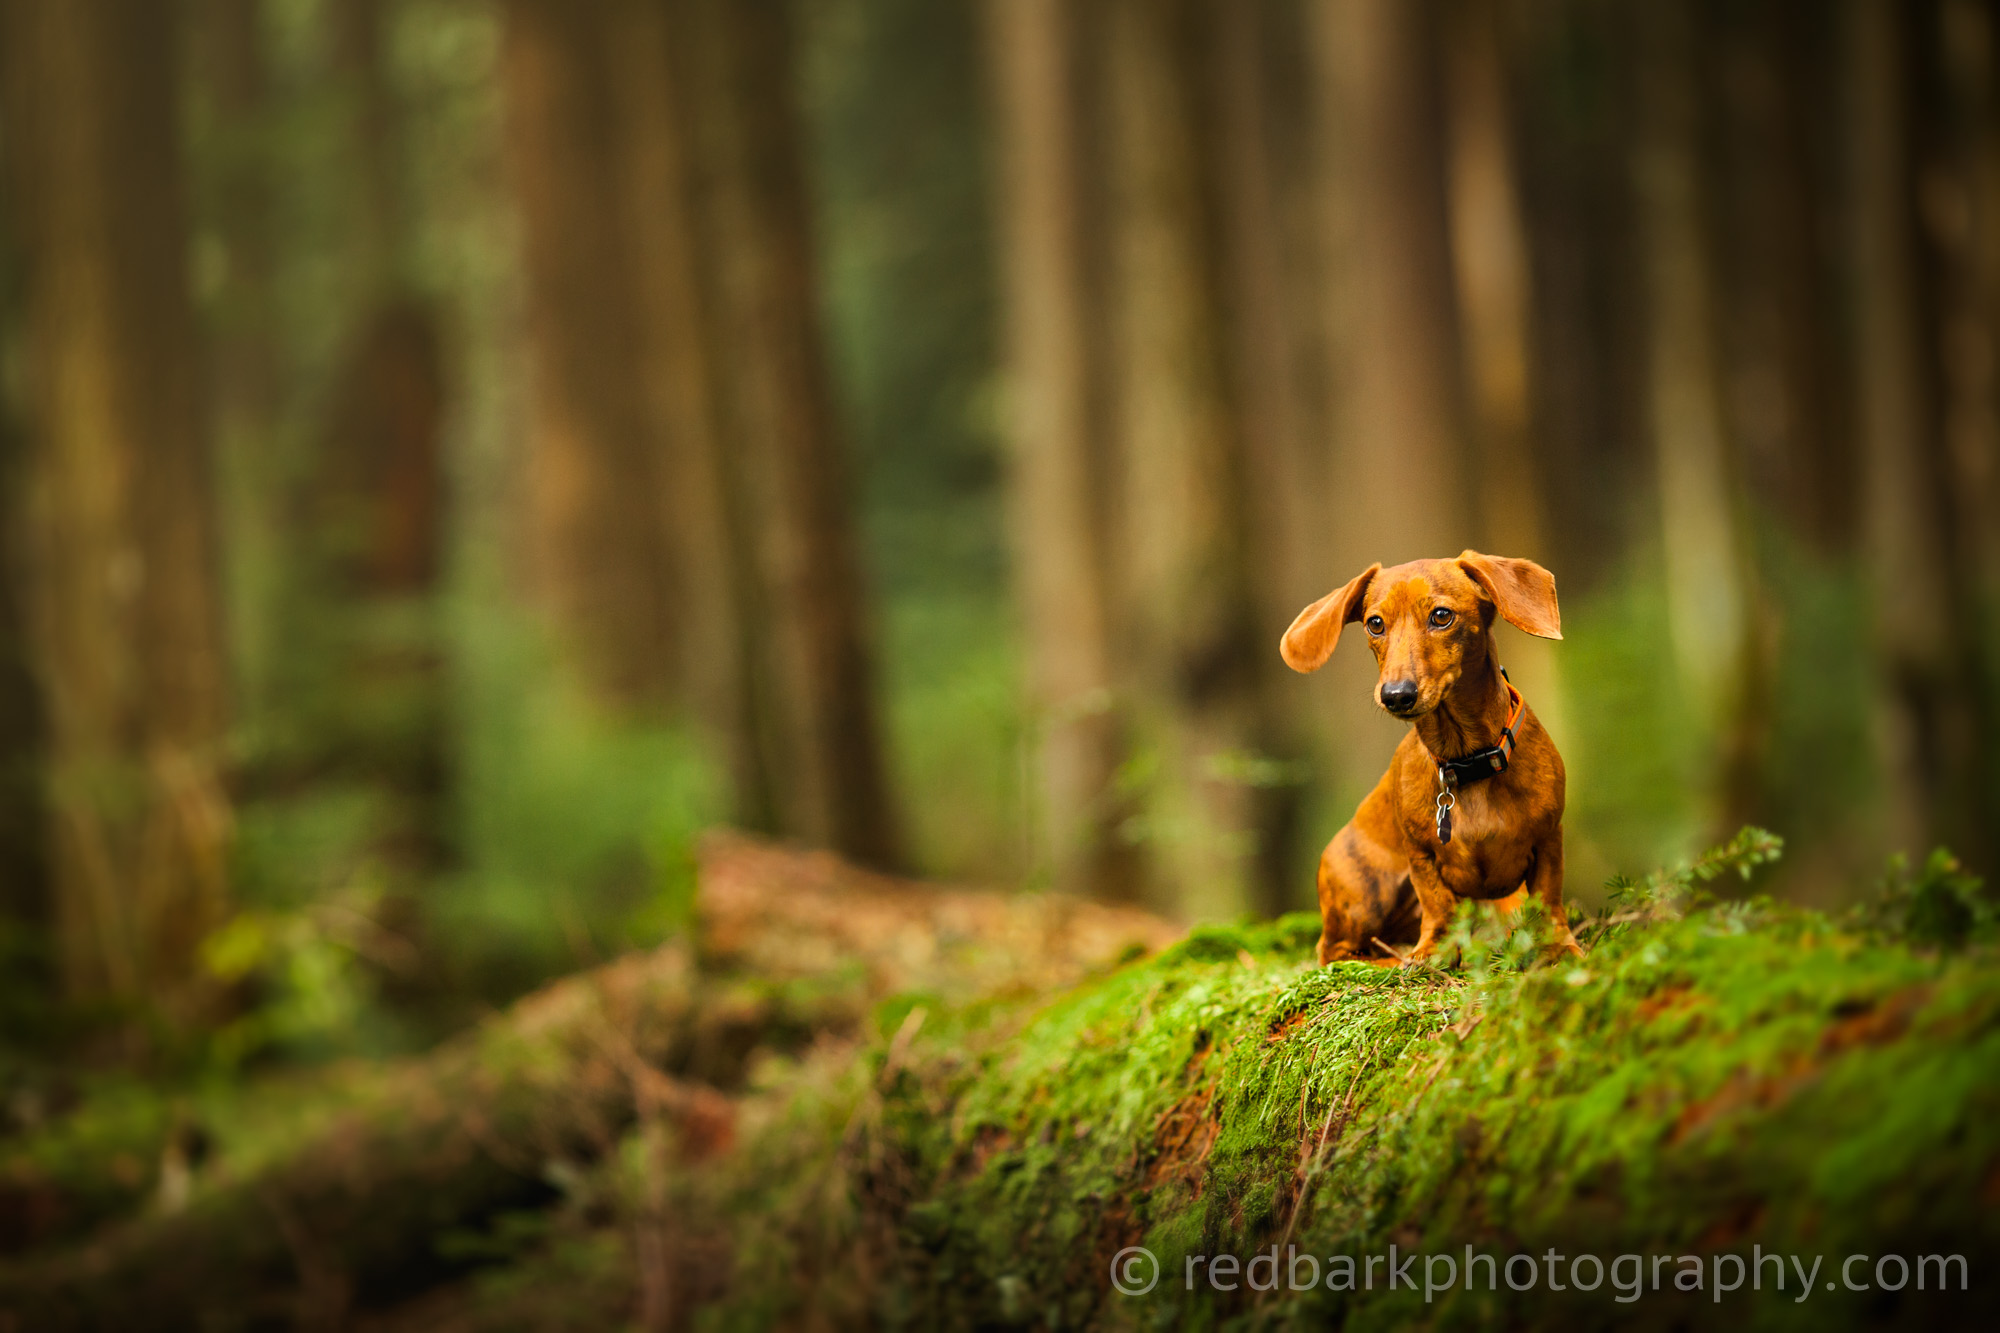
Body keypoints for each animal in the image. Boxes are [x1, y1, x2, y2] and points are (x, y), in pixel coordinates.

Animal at [1280, 548, 1576, 964]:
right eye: (1375, 624)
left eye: (1441, 615)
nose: (1396, 694)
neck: (1466, 760)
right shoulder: (1420, 856)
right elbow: (1437, 904)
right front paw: (1433, 951)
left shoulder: (1549, 839)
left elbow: (1549, 901)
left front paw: (1560, 946)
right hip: (1367, 895)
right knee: (1336, 951)